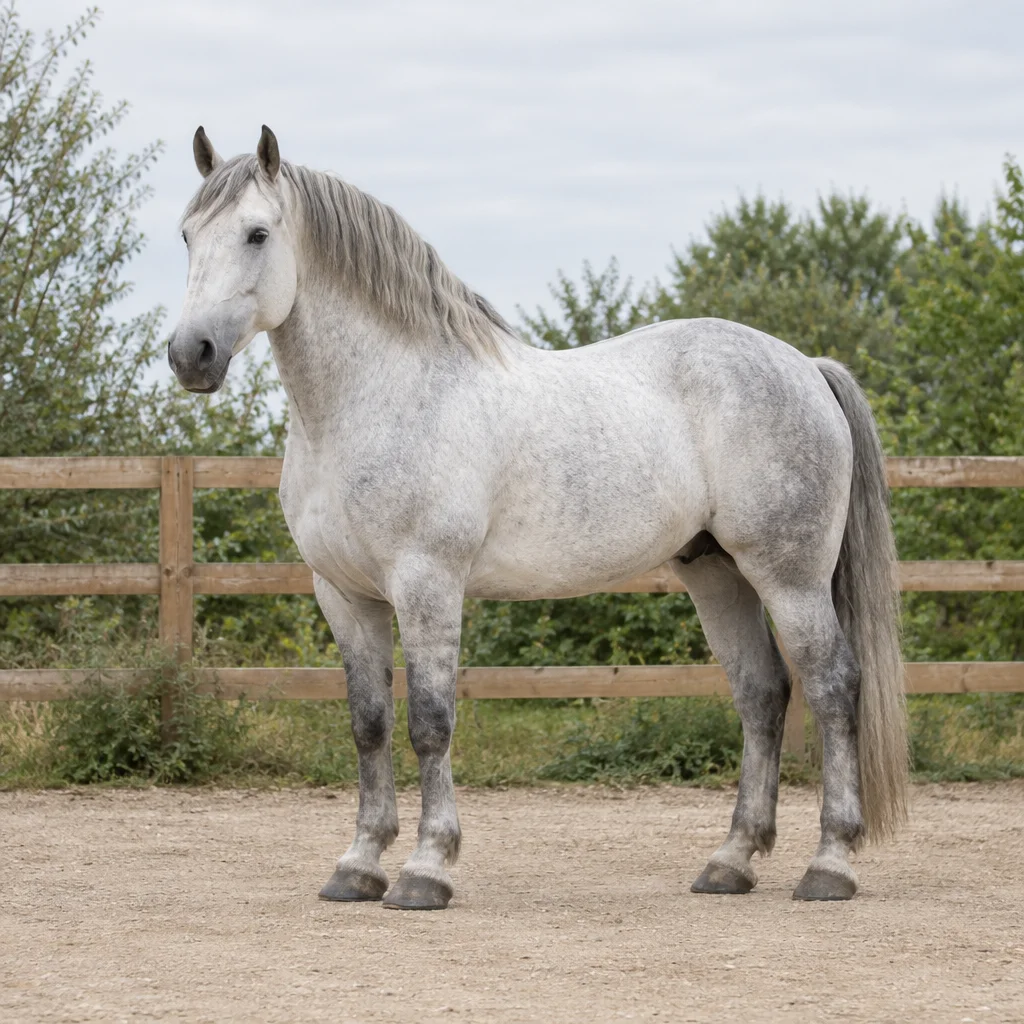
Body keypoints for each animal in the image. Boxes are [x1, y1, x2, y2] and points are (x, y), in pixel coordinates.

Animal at [169, 125, 908, 910]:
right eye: (187, 235)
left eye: (256, 233)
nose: (190, 355)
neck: (381, 399)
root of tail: (805, 366)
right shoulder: (344, 595)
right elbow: (368, 725)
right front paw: (359, 866)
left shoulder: (427, 584)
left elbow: (430, 721)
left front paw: (427, 869)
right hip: (718, 573)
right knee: (763, 695)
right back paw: (731, 862)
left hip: (789, 576)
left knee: (833, 687)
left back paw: (830, 864)